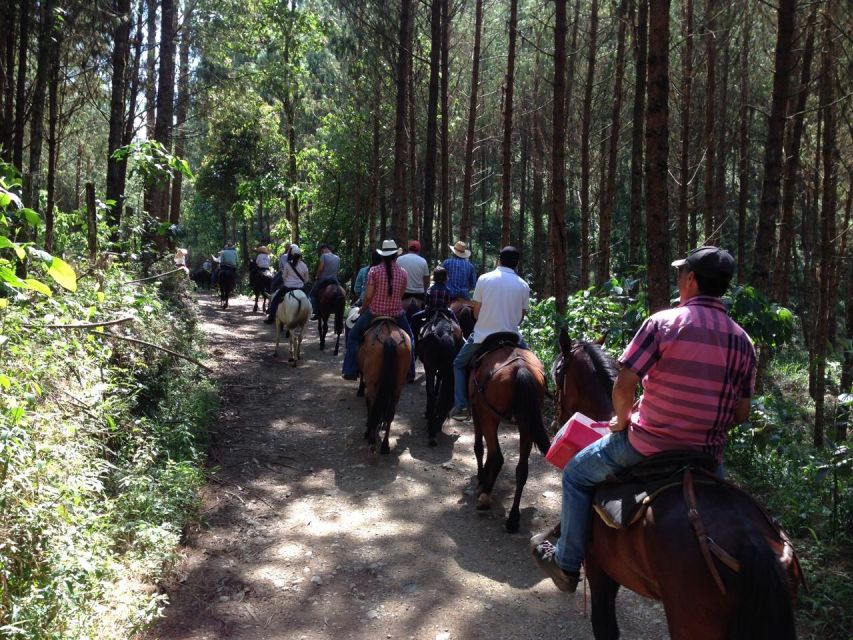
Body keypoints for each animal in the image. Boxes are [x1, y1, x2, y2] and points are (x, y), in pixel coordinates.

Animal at [354, 318, 412, 452]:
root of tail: (389, 338)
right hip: (397, 385)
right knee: (390, 412)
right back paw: (385, 445)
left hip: (372, 382)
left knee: (372, 405)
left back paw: (371, 438)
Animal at [470, 338, 548, 532]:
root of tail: (520, 368)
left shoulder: (477, 410)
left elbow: (479, 447)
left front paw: (482, 477)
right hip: (526, 422)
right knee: (522, 470)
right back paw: (513, 518)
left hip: (489, 415)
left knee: (497, 456)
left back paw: (485, 496)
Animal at [552, 330, 804, 640]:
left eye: (557, 372)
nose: (556, 421)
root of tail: (752, 544)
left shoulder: (600, 568)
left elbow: (605, 626)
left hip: (691, 620)